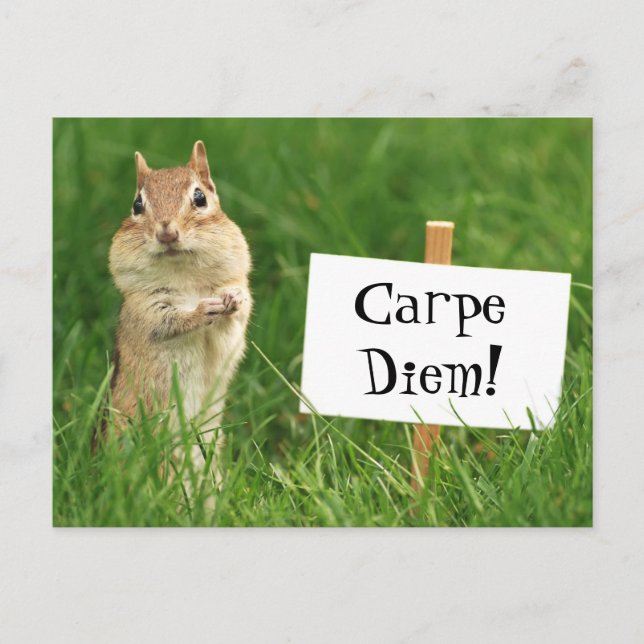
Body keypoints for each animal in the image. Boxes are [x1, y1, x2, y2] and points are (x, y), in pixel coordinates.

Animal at [105, 140, 252, 490]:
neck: (186, 278)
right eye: (137, 205)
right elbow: (170, 322)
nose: (167, 233)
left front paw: (232, 299)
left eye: (200, 198)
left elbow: (232, 328)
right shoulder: (145, 311)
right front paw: (201, 311)